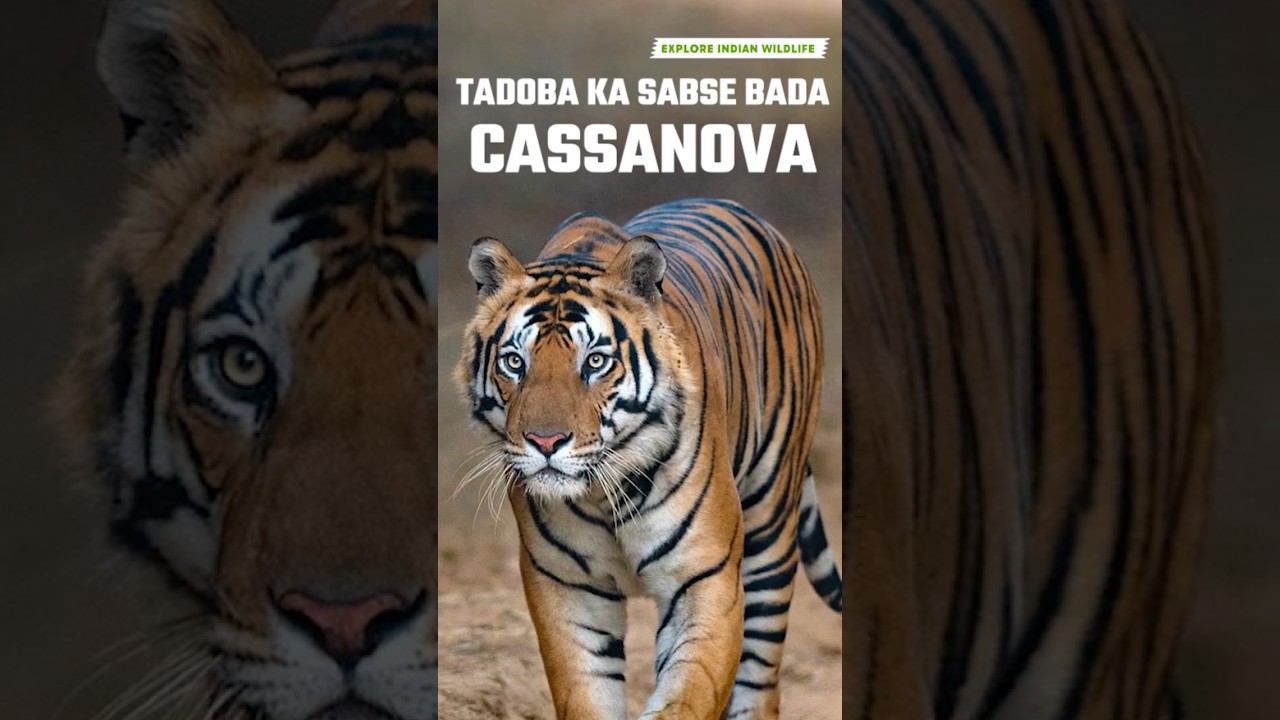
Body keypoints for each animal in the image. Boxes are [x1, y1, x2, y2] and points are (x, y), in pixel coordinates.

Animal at [455, 198, 842, 719]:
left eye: (595, 362)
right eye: (515, 362)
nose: (545, 441)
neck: (604, 495)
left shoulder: (706, 580)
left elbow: (686, 696)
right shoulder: (567, 589)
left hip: (771, 530)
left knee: (759, 678)